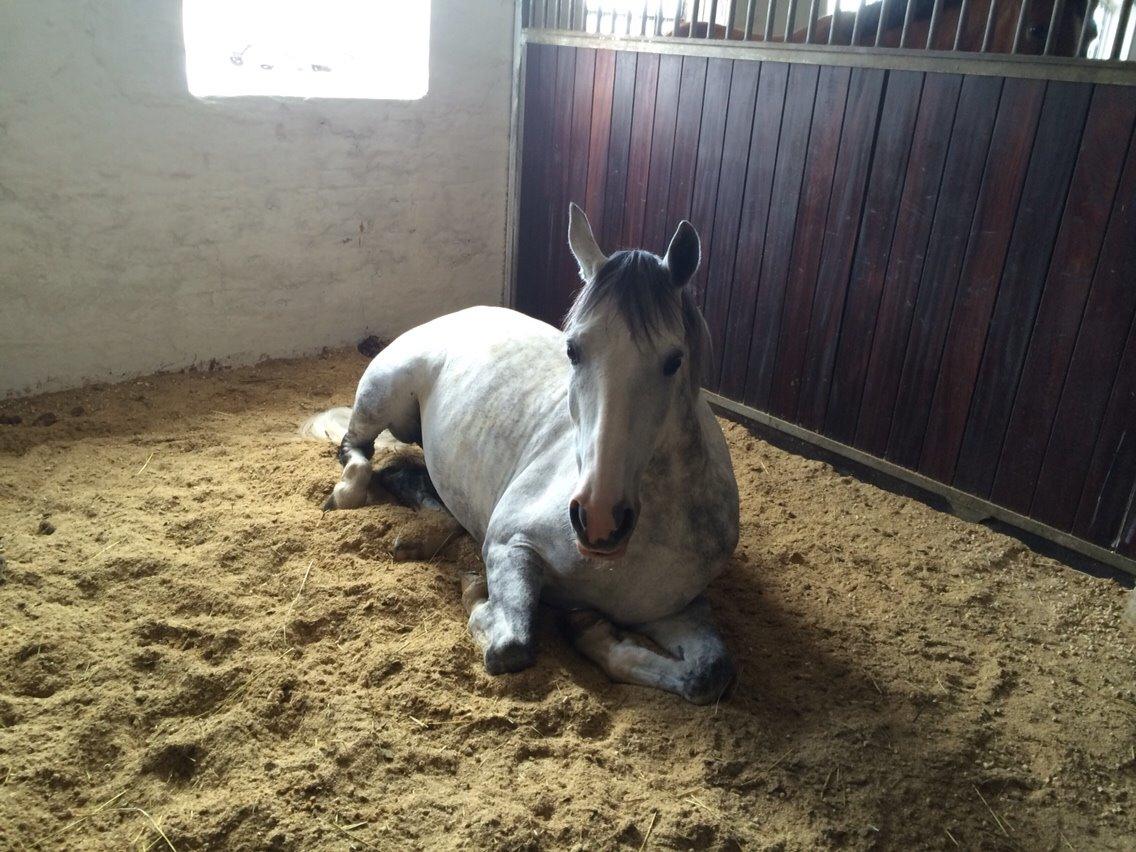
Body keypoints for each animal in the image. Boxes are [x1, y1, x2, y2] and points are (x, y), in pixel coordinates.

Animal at [306, 206, 740, 708]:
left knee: (424, 487)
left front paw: (594, 631)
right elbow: (510, 645)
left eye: (674, 360)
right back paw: (348, 495)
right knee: (357, 451)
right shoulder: (509, 546)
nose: (599, 518)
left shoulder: (677, 608)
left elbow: (709, 673)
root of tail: (461, 314)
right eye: (572, 349)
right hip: (382, 395)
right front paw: (477, 593)